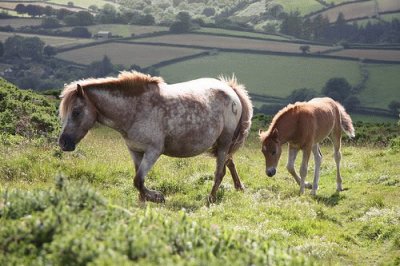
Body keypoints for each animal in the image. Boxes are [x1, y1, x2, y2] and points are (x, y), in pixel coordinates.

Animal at [57, 71, 252, 203]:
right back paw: (239, 187)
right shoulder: (135, 151)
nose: (63, 143)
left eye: (76, 112)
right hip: (222, 145)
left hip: (224, 142)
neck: (136, 110)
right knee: (229, 162)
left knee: (220, 172)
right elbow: (138, 180)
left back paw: (210, 199)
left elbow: (138, 180)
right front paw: (143, 200)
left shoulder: (153, 151)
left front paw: (157, 196)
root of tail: (230, 89)